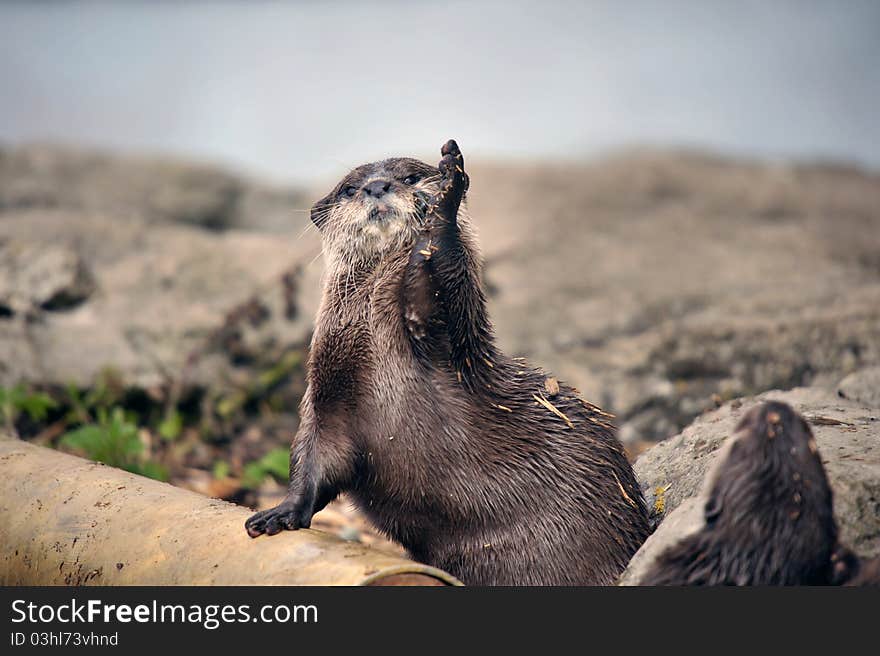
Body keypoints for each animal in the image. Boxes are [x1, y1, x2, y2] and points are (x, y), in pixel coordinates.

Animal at [244, 138, 648, 584]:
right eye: (349, 189)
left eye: (409, 176)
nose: (377, 187)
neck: (370, 340)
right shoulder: (328, 393)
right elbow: (314, 456)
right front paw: (281, 513)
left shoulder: (450, 336)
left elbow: (441, 285)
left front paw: (446, 196)